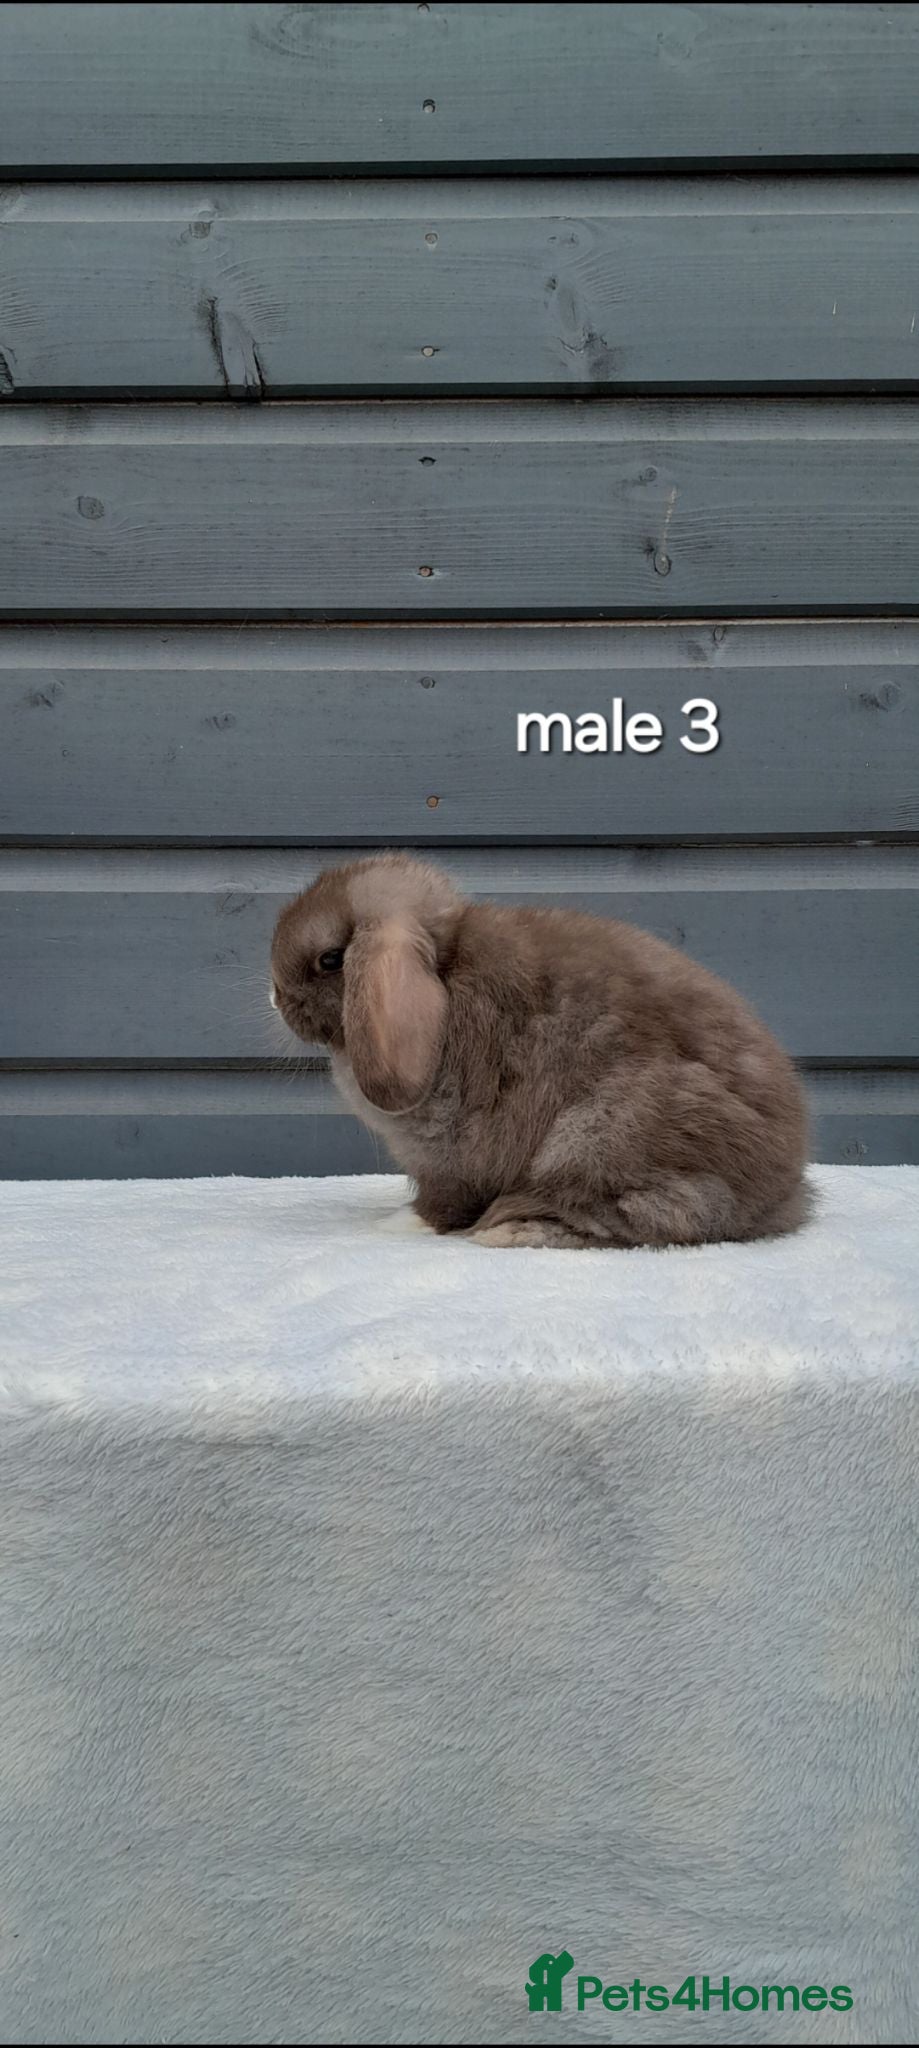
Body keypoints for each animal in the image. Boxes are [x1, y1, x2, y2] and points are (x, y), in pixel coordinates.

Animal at [270, 853, 810, 1249]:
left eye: (331, 960)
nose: (275, 997)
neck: (445, 973)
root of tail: (781, 1198)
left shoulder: (447, 1153)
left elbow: (443, 1202)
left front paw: (399, 1224)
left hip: (597, 1134)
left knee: (649, 1217)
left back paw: (510, 1229)